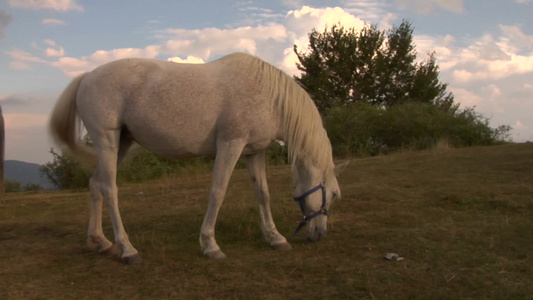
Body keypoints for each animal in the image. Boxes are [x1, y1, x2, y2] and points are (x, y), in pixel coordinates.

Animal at [50, 52, 348, 264]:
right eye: (333, 195)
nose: (319, 234)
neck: (267, 94)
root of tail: (87, 77)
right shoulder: (231, 144)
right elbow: (218, 191)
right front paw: (210, 245)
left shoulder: (254, 152)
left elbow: (263, 194)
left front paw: (275, 238)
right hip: (107, 141)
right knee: (109, 189)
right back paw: (128, 249)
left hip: (121, 143)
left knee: (94, 185)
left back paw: (100, 242)